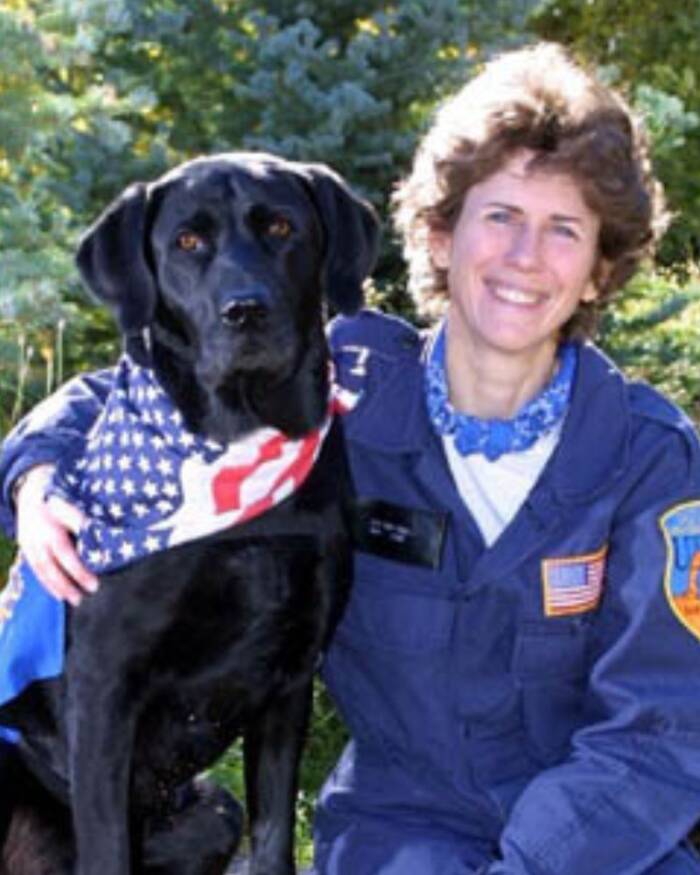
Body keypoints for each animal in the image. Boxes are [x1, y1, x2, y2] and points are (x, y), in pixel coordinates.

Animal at [0, 154, 378, 875]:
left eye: (281, 226)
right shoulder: (104, 686)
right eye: (188, 241)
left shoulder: (291, 678)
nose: (246, 310)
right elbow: (107, 849)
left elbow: (274, 839)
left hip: (209, 808)